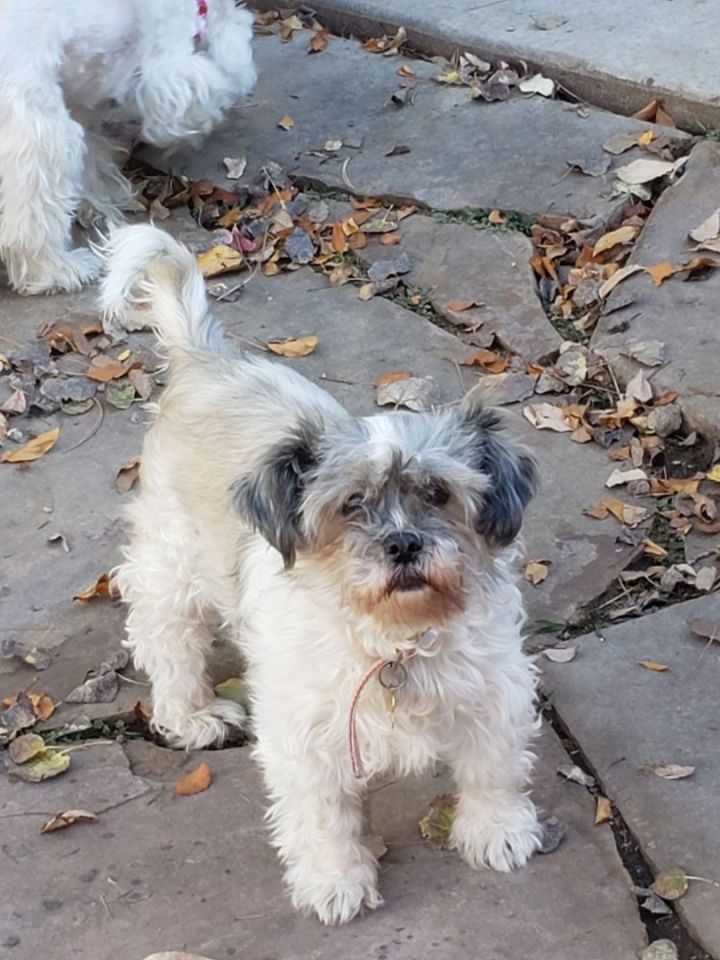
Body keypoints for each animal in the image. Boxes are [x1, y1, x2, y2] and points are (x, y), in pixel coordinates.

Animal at [100, 223, 540, 924]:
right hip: (172, 565)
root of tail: (206, 359)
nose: (403, 543)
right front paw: (335, 881)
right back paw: (190, 713)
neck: (394, 642)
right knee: (165, 637)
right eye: (351, 503)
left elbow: (492, 768)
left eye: (438, 494)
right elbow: (322, 815)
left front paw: (495, 830)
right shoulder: (302, 733)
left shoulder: (495, 691)